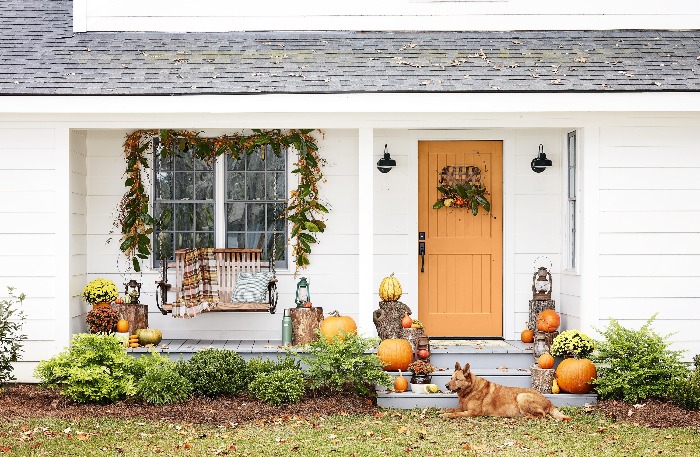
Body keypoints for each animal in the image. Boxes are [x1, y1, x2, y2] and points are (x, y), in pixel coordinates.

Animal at [440, 362, 572, 418]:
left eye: (457, 379)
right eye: (451, 378)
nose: (446, 385)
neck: (470, 390)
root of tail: (549, 401)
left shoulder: (473, 412)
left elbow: (456, 413)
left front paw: (447, 415)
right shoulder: (464, 408)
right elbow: (453, 409)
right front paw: (444, 411)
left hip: (521, 396)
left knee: (542, 415)